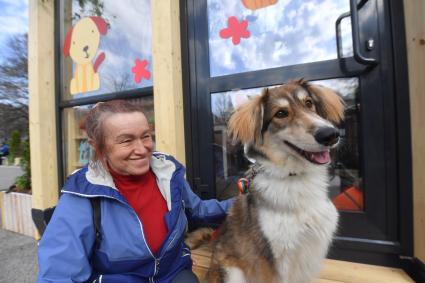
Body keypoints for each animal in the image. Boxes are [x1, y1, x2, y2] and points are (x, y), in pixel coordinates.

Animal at [186, 80, 344, 283]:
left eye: (309, 103)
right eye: (281, 113)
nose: (331, 134)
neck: (294, 177)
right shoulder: (268, 258)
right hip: (233, 273)